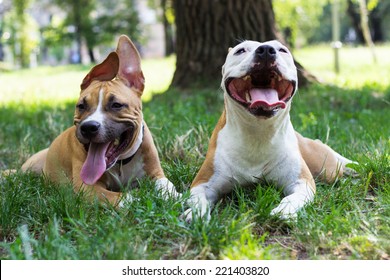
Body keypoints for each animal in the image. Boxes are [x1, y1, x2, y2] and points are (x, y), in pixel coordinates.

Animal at [21, 35, 180, 206]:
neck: (120, 163)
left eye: (116, 105)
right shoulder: (87, 188)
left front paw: (178, 197)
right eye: (81, 106)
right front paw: (137, 198)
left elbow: (166, 184)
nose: (88, 127)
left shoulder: (156, 173)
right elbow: (121, 197)